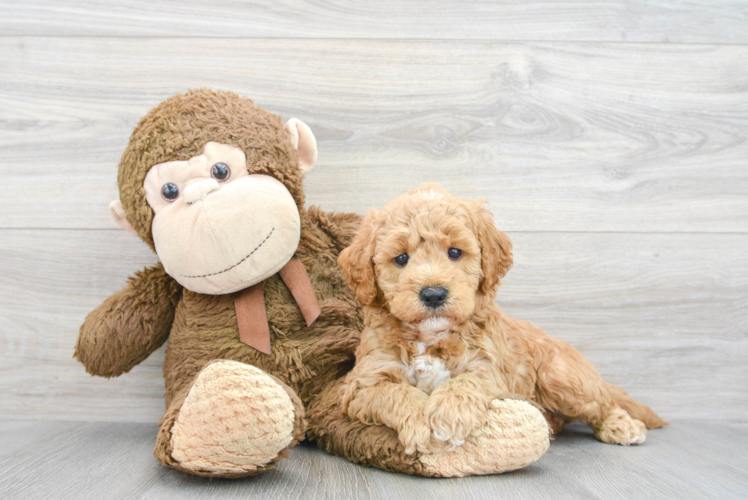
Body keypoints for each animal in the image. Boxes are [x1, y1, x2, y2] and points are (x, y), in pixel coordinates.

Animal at [336, 183, 664, 454]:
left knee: (604, 403)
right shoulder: (362, 383)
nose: (433, 294)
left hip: (561, 376)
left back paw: (621, 425)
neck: (431, 338)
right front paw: (420, 422)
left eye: (455, 252)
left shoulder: (492, 368)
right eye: (401, 258)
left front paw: (449, 414)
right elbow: (396, 392)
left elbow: (467, 381)